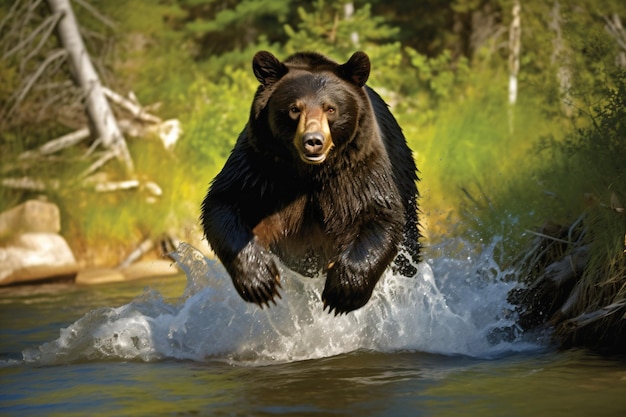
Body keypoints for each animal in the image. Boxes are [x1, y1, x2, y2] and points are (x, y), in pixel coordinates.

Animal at [201, 51, 420, 312]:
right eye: (295, 108)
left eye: (331, 108)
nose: (313, 141)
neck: (310, 172)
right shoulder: (260, 166)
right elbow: (224, 202)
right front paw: (260, 281)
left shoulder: (357, 167)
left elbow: (379, 212)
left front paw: (342, 292)